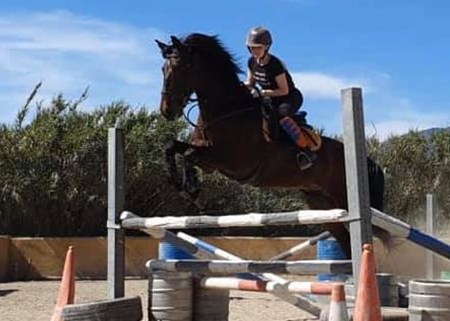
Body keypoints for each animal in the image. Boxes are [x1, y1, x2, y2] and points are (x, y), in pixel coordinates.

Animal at [155, 33, 384, 256]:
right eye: (163, 69)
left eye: (180, 67)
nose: (167, 111)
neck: (226, 110)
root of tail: (363, 159)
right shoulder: (210, 162)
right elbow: (172, 146)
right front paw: (177, 182)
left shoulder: (232, 161)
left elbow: (188, 154)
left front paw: (192, 190)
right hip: (321, 203)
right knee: (344, 240)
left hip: (342, 197)